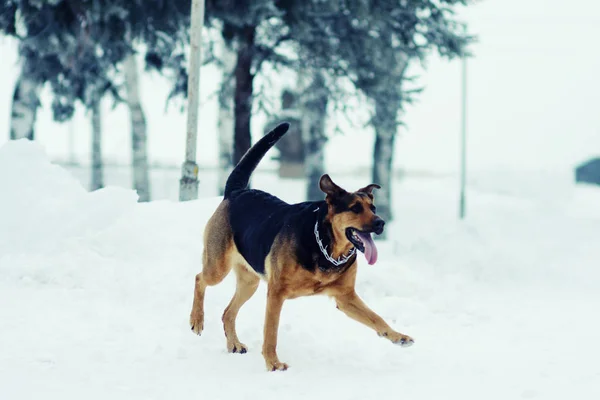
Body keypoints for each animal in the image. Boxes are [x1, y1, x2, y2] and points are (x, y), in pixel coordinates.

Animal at [190, 122, 414, 372]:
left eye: (373, 208)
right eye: (355, 208)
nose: (381, 223)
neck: (327, 247)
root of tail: (236, 191)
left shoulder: (346, 297)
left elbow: (377, 318)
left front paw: (398, 336)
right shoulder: (276, 293)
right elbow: (271, 333)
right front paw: (273, 363)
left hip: (250, 282)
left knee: (228, 313)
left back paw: (234, 344)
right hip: (218, 266)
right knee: (199, 279)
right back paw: (197, 319)